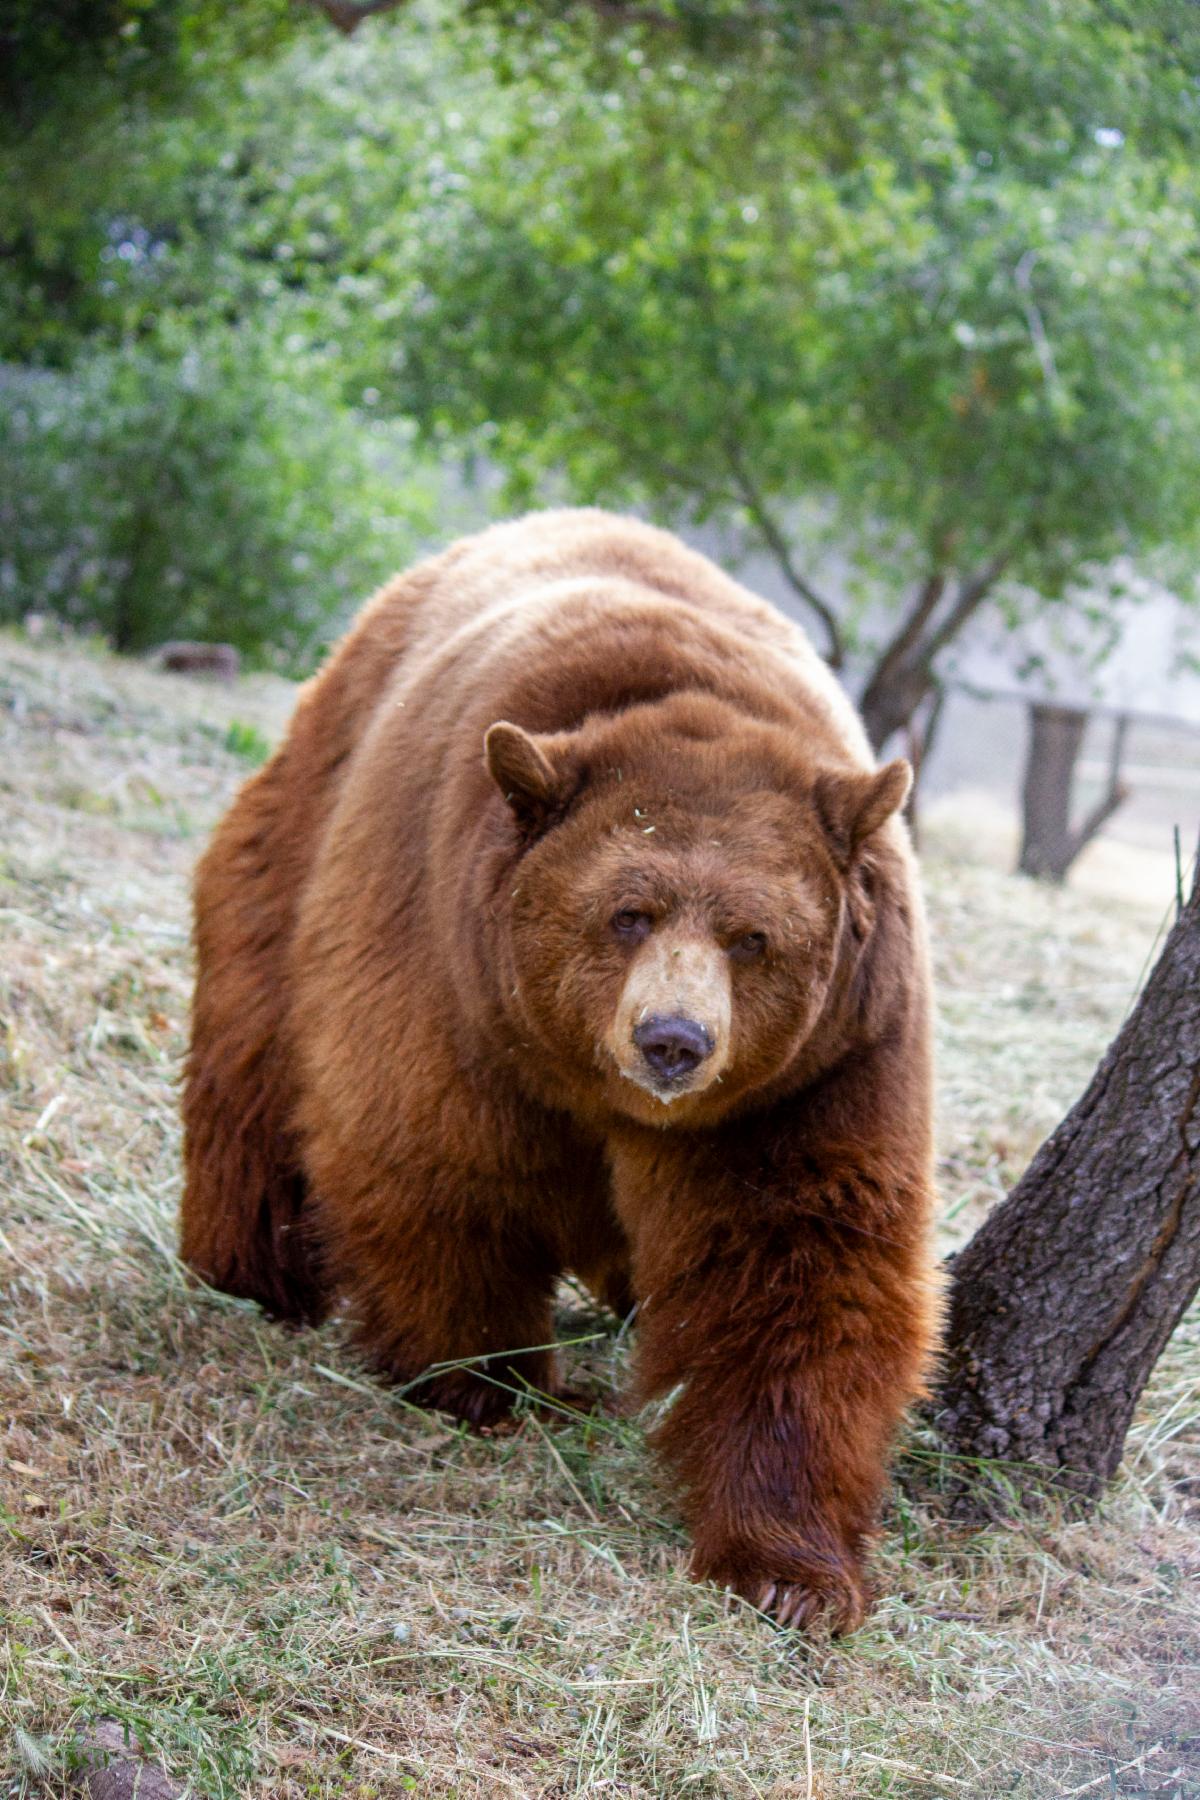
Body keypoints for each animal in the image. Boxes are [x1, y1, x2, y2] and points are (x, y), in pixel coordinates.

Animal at [181, 508, 939, 1633]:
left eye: (753, 937)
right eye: (628, 913)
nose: (673, 1039)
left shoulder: (823, 1065)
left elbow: (801, 1259)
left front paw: (789, 1569)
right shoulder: (451, 975)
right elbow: (436, 1162)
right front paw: (496, 1381)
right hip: (308, 826)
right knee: (254, 1042)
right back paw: (251, 1266)